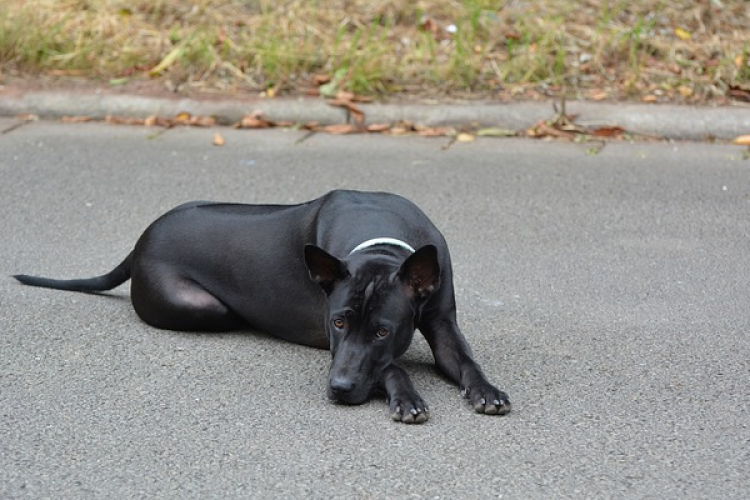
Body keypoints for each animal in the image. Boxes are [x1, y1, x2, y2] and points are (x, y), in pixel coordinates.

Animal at [14, 190, 512, 422]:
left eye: (384, 330)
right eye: (337, 323)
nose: (338, 388)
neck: (382, 246)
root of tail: (139, 242)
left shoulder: (442, 323)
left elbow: (465, 360)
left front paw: (486, 390)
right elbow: (391, 366)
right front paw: (406, 396)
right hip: (205, 308)